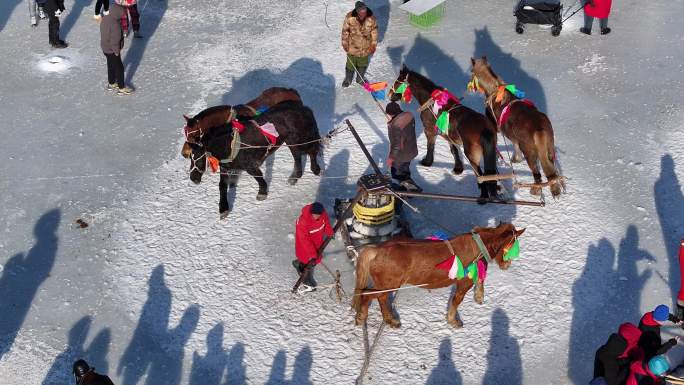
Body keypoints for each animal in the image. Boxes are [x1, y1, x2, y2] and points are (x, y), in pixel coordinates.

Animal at [352, 224, 524, 328]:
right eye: (512, 244)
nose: (508, 265)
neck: (478, 247)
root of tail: (378, 249)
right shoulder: (464, 283)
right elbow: (456, 301)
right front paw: (453, 320)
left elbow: (481, 279)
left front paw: (479, 296)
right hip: (389, 284)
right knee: (370, 295)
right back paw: (368, 318)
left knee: (376, 297)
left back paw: (382, 319)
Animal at [388, 65, 500, 200]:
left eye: (398, 82)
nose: (389, 95)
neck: (432, 103)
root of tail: (484, 128)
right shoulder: (450, 137)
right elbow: (454, 151)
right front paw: (458, 169)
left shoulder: (429, 131)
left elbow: (430, 146)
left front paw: (427, 162)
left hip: (473, 157)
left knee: (481, 175)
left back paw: (483, 197)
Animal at [470, 56, 560, 198]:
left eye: (471, 73)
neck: (495, 90)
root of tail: (539, 128)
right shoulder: (512, 135)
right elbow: (515, 145)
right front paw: (516, 159)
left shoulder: (494, 128)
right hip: (550, 150)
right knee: (552, 173)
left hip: (530, 154)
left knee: (537, 175)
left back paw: (535, 191)